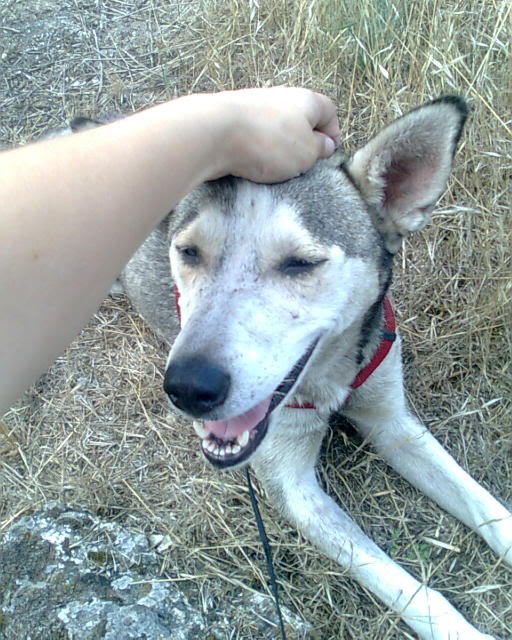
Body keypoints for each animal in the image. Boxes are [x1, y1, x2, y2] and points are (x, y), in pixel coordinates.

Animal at [70, 96, 510, 640]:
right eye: (188, 251)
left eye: (300, 263)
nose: (188, 388)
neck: (331, 381)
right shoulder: (294, 489)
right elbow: (402, 582)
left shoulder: (394, 422)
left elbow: (483, 504)